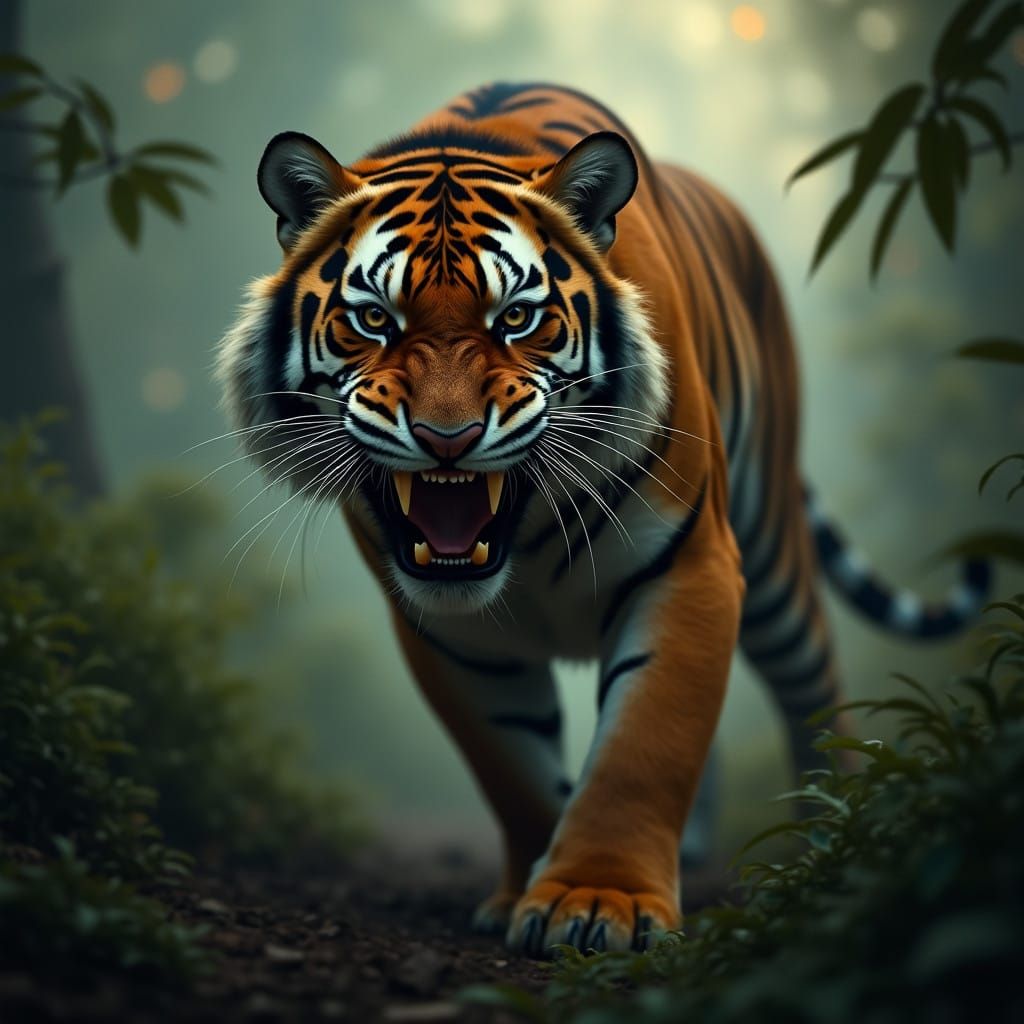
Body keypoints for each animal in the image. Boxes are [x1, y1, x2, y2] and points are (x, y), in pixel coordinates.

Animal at [217, 82, 991, 955]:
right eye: (375, 319)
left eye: (516, 319)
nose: (448, 436)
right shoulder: (447, 630)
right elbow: (511, 766)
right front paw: (528, 885)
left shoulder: (690, 568)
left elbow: (644, 745)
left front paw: (596, 900)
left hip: (774, 564)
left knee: (815, 690)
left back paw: (833, 839)